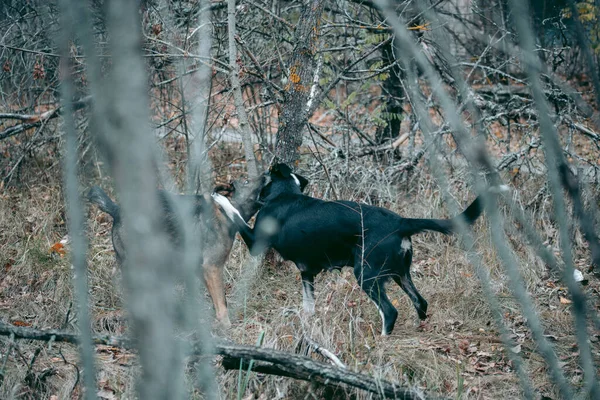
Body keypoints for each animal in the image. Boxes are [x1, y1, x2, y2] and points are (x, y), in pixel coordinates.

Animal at [214, 162, 482, 334]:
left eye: (263, 176)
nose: (236, 182)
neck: (285, 195)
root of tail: (401, 222)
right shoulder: (307, 272)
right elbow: (308, 306)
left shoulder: (255, 242)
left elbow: (235, 215)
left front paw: (220, 198)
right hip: (400, 273)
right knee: (421, 302)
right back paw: (420, 329)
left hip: (366, 274)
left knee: (390, 311)